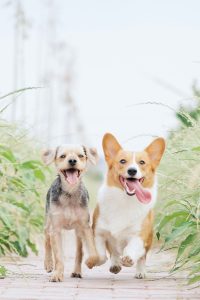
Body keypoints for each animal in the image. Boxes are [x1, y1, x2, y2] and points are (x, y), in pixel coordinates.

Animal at [93, 134, 165, 278]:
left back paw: (140, 272)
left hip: (148, 240)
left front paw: (128, 259)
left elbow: (132, 248)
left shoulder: (138, 235)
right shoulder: (98, 232)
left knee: (142, 257)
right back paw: (115, 264)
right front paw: (97, 260)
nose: (132, 170)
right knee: (114, 252)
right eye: (122, 161)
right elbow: (101, 254)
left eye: (142, 162)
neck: (125, 199)